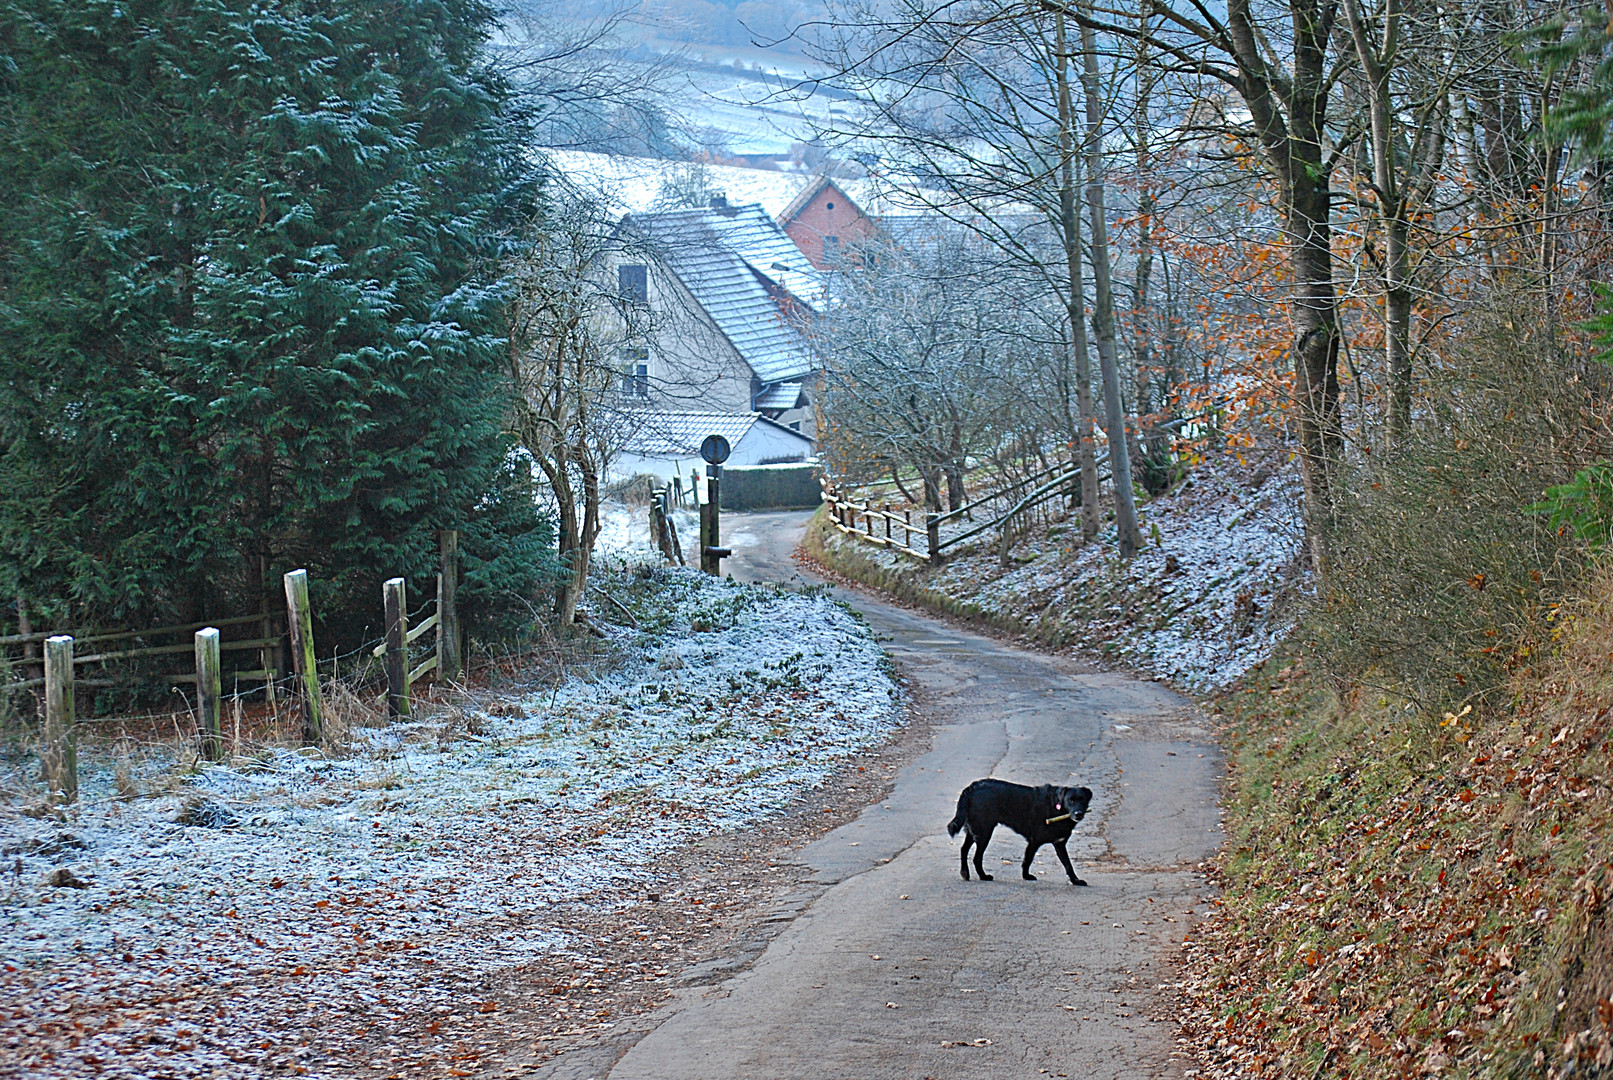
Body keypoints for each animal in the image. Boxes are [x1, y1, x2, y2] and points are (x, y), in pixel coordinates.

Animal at [941, 780, 1096, 889]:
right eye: (1071, 800)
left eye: (1082, 799)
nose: (1078, 814)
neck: (1058, 806)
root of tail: (972, 787)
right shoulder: (1034, 841)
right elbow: (1028, 860)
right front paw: (1026, 876)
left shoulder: (1059, 843)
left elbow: (1068, 864)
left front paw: (1075, 880)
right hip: (984, 832)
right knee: (976, 857)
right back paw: (983, 876)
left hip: (975, 830)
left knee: (963, 849)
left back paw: (965, 873)